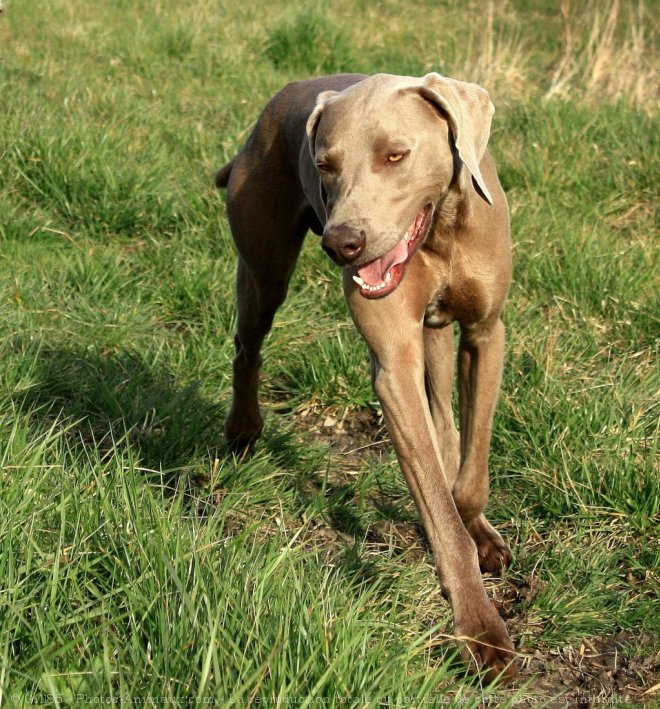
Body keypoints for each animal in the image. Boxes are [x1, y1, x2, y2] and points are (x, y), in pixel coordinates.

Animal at [217, 72, 516, 680]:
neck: (440, 231)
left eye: (395, 155)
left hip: (436, 331)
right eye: (324, 165)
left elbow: (469, 474)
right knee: (246, 346)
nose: (341, 243)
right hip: (264, 268)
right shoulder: (394, 367)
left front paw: (479, 528)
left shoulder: (485, 334)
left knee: (445, 417)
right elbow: (439, 511)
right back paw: (243, 428)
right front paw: (480, 629)